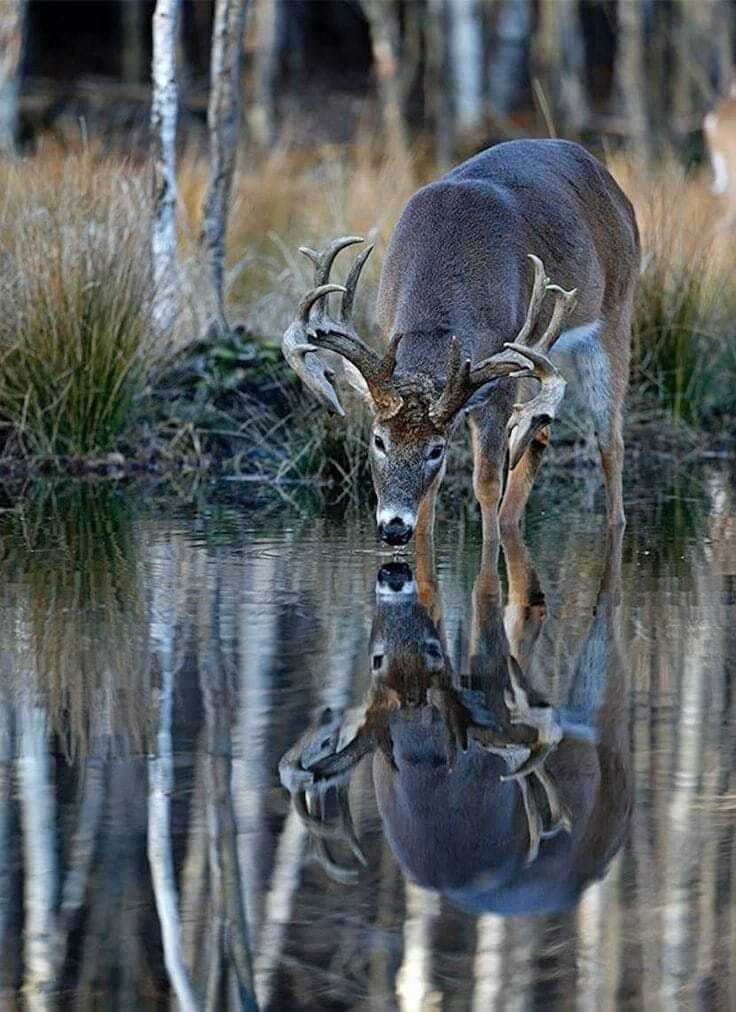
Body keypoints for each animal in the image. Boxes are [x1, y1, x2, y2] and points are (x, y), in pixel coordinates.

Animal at [285, 140, 643, 546]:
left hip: (615, 313)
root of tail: (612, 183)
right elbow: (431, 498)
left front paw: (489, 547)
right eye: (378, 440)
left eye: (436, 450)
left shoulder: (499, 374)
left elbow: (486, 482)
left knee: (610, 440)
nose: (393, 528)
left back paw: (613, 523)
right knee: (540, 430)